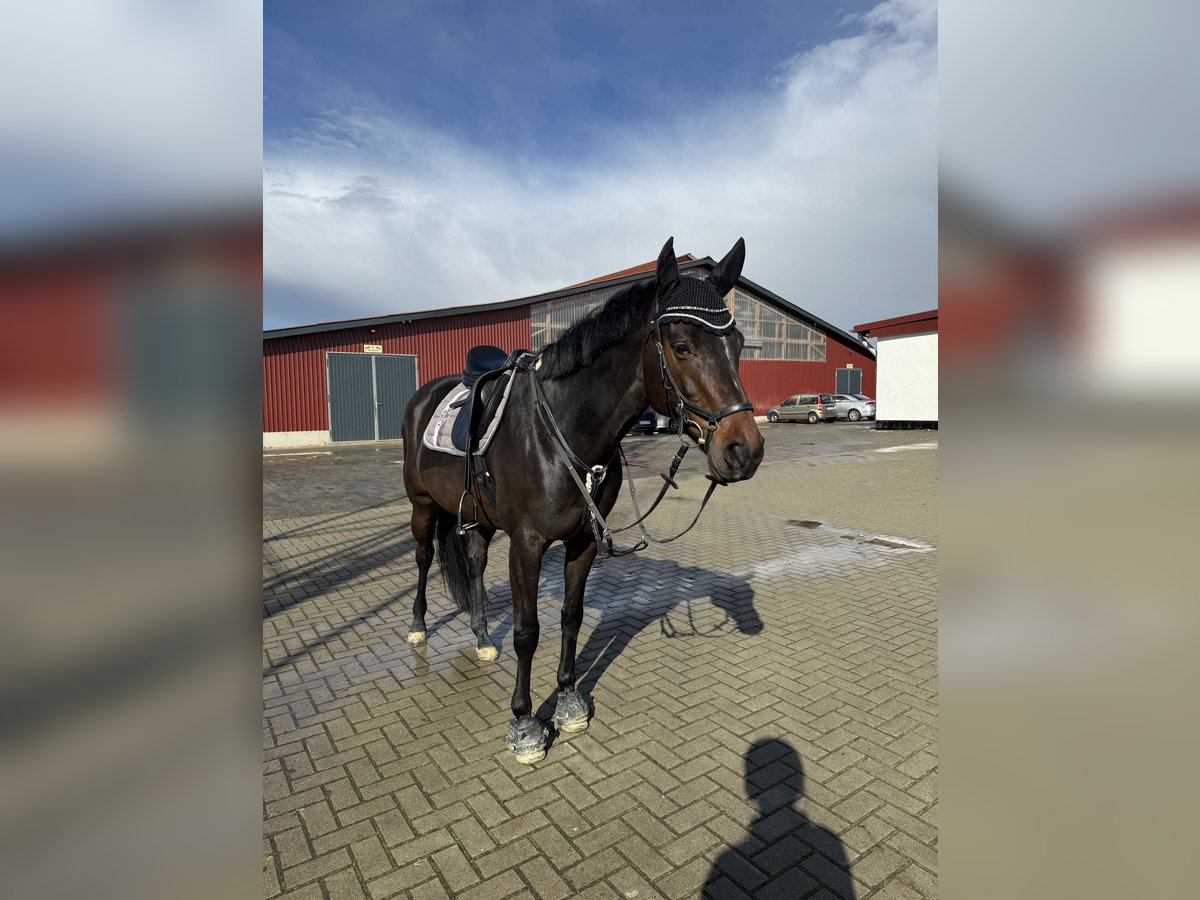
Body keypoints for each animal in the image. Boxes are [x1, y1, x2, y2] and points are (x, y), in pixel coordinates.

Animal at [400, 236, 765, 763]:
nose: (744, 450)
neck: (565, 428)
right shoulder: (526, 544)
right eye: (681, 347)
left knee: (472, 562)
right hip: (422, 507)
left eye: (736, 345)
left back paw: (482, 637)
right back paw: (417, 627)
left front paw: (569, 699)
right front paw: (525, 723)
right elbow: (528, 631)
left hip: (479, 516)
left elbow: (570, 617)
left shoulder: (584, 541)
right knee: (425, 558)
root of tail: (425, 394)